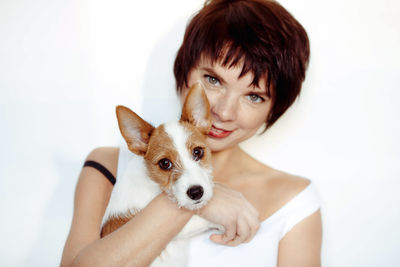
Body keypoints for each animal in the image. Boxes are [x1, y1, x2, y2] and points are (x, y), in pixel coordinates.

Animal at [99, 82, 219, 266]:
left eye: (198, 152)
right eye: (165, 163)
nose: (196, 192)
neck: (149, 178)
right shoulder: (173, 228)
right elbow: (203, 220)